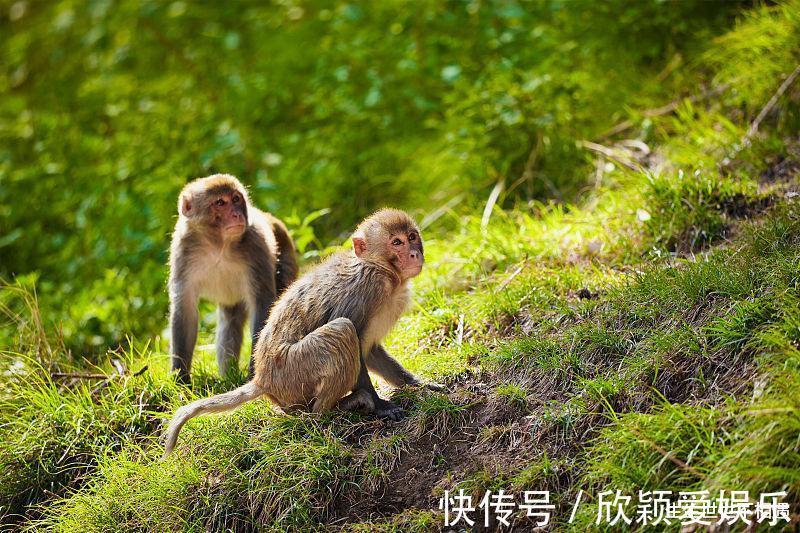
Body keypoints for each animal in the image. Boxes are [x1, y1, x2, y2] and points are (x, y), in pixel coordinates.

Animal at [162, 206, 438, 456]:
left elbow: (369, 351)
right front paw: (380, 405)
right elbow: (356, 339)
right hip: (292, 371)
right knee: (342, 331)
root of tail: (262, 379)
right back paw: (333, 410)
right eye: (396, 242)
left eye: (412, 236)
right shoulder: (368, 289)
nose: (414, 253)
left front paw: (416, 384)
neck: (383, 271)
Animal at [168, 175, 296, 382]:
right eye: (220, 202)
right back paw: (228, 375)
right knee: (230, 321)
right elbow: (184, 309)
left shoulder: (256, 244)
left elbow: (262, 304)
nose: (237, 214)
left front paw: (254, 373)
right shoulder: (183, 249)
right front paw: (181, 377)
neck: (218, 244)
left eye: (236, 199)